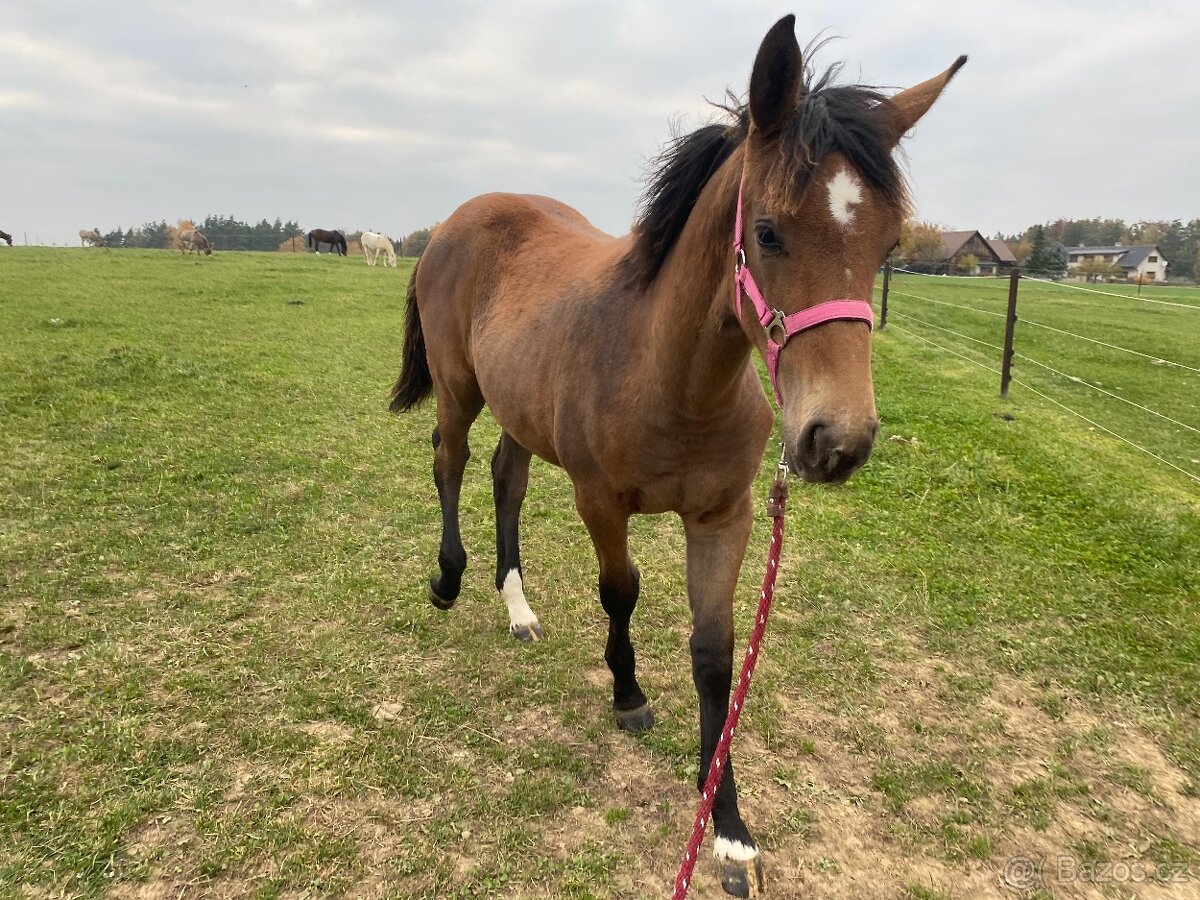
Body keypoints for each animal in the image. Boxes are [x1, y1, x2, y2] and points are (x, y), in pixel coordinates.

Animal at [393, 14, 964, 897]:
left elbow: (716, 655)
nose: (837, 441)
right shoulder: (600, 503)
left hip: (520, 412)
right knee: (448, 464)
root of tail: (463, 218)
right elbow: (620, 593)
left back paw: (518, 608)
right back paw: (449, 581)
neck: (667, 377)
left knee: (505, 479)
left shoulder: (724, 519)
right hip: (460, 391)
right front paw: (628, 695)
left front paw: (724, 821)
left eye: (889, 244)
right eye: (767, 231)